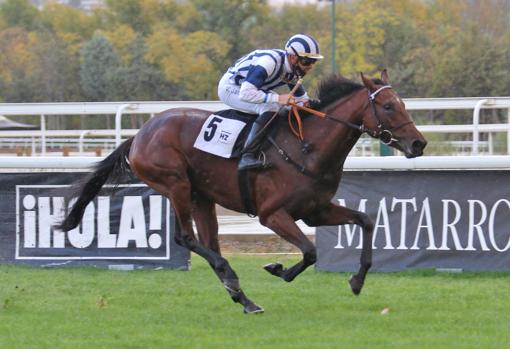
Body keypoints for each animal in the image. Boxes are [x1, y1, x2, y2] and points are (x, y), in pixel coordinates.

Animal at [57, 68, 426, 312]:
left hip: (202, 197)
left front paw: (357, 280)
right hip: (175, 183)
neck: (308, 146)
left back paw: (242, 296)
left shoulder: (316, 210)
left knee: (209, 242)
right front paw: (278, 269)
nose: (418, 143)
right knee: (186, 238)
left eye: (402, 103)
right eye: (389, 106)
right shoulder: (272, 214)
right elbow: (309, 252)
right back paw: (232, 278)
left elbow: (365, 220)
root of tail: (140, 134)